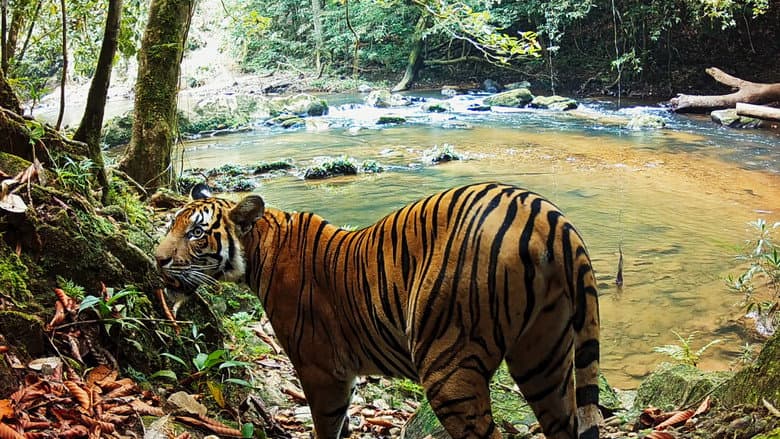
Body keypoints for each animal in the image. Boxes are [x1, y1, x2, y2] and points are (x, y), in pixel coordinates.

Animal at [156, 182, 601, 439]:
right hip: (544, 358)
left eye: (196, 232)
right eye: (171, 225)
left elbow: (327, 426)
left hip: (447, 366)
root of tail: (547, 216)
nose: (158, 260)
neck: (260, 249)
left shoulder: (321, 370)